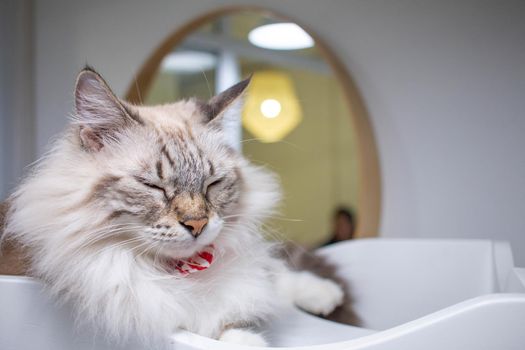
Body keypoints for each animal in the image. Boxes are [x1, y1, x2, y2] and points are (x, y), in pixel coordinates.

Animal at [2, 68, 344, 348]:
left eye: (212, 184)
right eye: (154, 186)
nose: (197, 224)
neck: (182, 271)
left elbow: (260, 289)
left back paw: (326, 294)